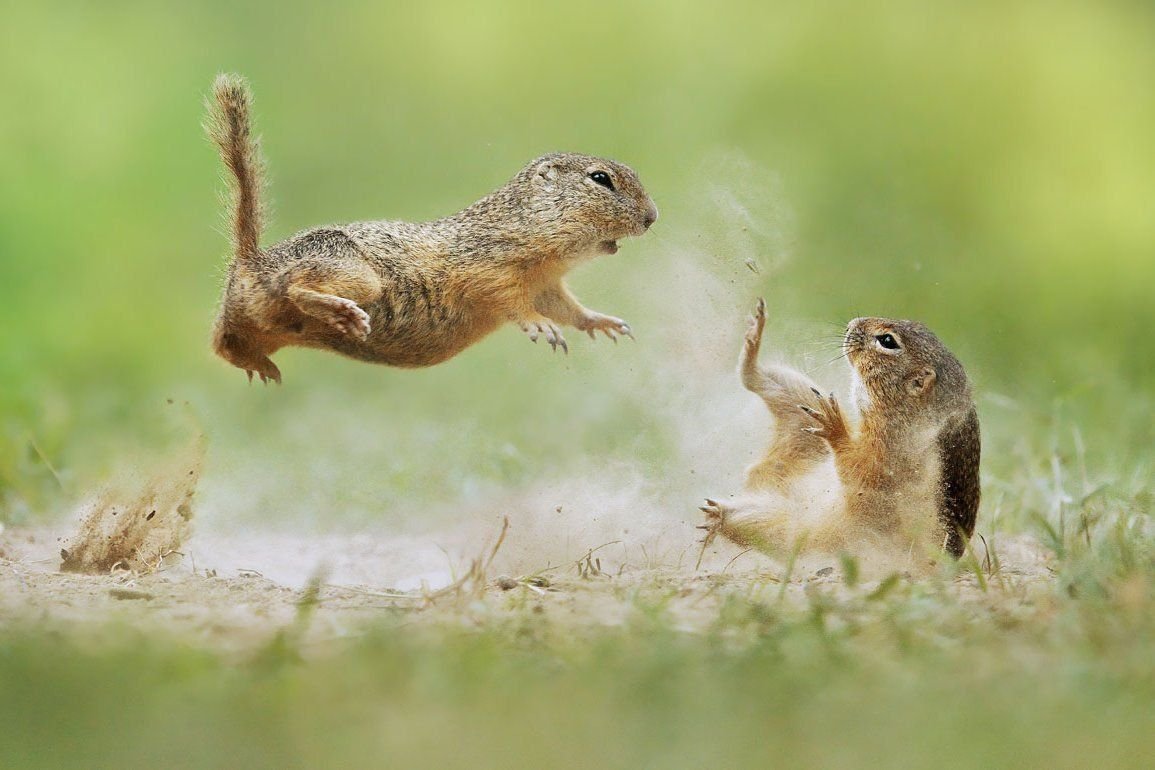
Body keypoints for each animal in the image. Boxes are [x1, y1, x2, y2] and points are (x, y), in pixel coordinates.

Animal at [205, 75, 660, 383]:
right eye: (600, 179)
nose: (652, 217)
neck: (525, 226)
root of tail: (251, 261)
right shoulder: (491, 268)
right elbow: (514, 304)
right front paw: (540, 327)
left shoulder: (547, 286)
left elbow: (569, 309)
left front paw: (603, 322)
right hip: (354, 275)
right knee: (294, 288)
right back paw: (341, 313)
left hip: (250, 321)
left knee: (223, 342)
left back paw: (261, 366)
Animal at [697, 300, 979, 561]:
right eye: (916, 323)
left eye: (887, 341)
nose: (851, 325)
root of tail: (762, 479)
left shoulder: (888, 462)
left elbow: (857, 471)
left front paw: (835, 427)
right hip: (801, 403)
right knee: (756, 381)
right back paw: (753, 343)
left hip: (785, 529)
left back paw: (718, 516)